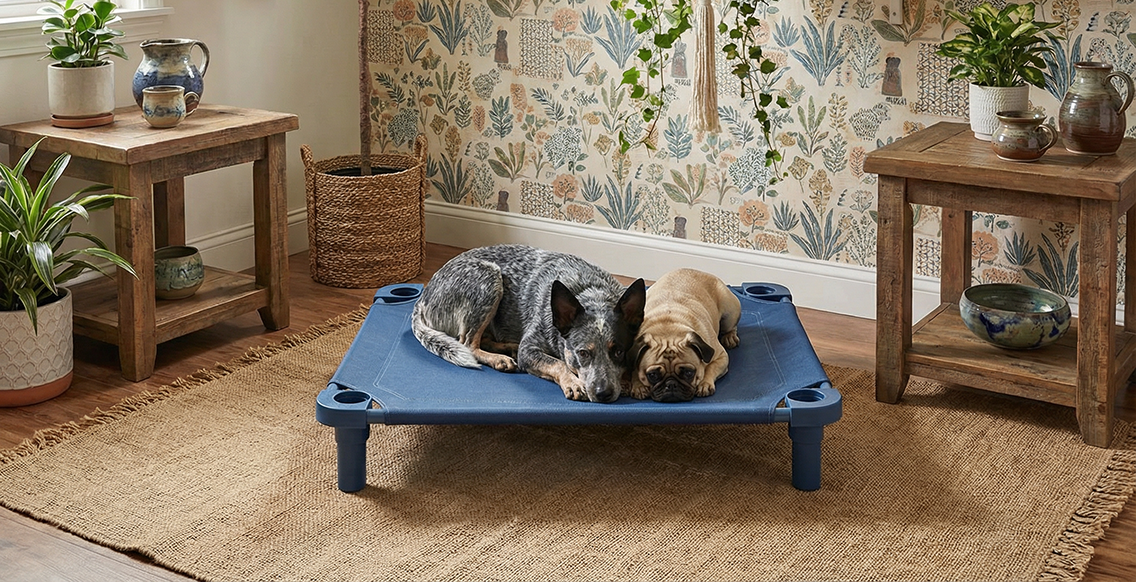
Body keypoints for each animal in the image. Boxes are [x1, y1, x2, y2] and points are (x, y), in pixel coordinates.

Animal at [411, 244, 646, 403]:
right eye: (583, 353)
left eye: (619, 352)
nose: (603, 393)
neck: (591, 293)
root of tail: (422, 298)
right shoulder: (529, 349)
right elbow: (558, 363)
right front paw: (573, 382)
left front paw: (633, 381)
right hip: (489, 278)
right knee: (468, 343)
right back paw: (499, 358)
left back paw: (507, 348)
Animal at [628, 268, 741, 402]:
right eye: (652, 375)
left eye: (688, 373)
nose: (671, 384)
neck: (669, 329)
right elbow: (634, 371)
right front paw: (638, 385)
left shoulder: (721, 356)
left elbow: (710, 368)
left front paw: (704, 383)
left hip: (730, 313)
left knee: (732, 326)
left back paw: (730, 337)